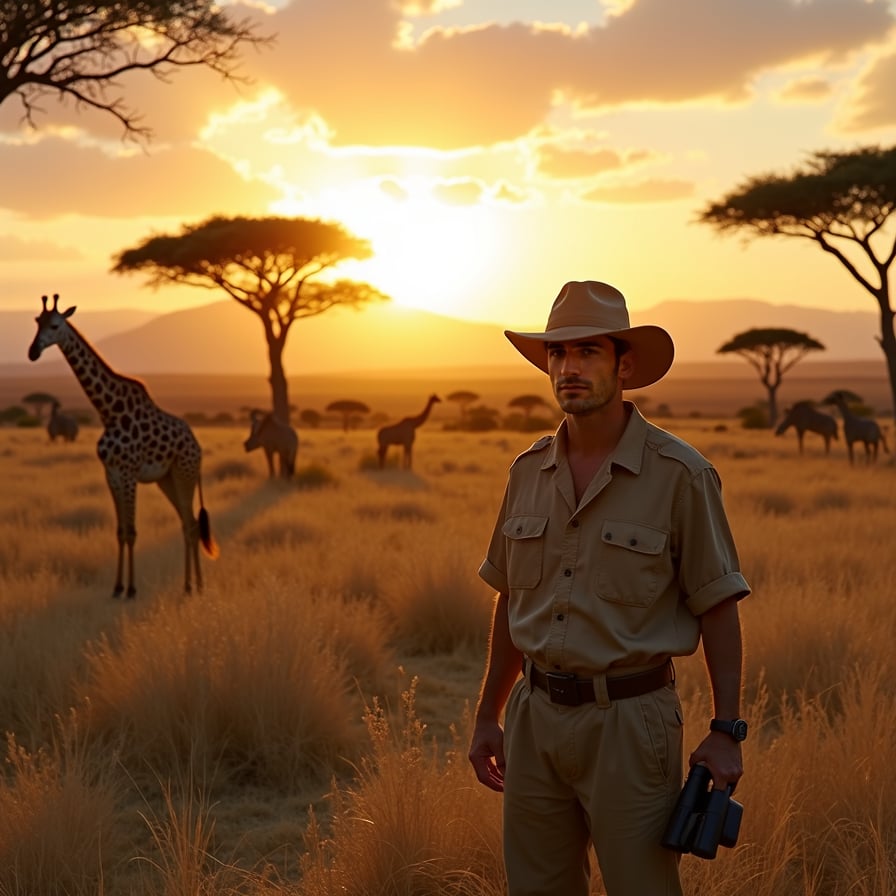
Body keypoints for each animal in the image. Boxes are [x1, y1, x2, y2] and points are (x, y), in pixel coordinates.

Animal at [28, 294, 218, 598]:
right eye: (37, 321)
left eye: (55, 325)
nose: (33, 352)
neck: (109, 411)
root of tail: (197, 446)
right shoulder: (112, 474)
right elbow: (120, 531)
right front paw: (117, 588)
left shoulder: (128, 474)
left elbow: (132, 530)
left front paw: (131, 589)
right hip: (167, 480)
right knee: (186, 523)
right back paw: (189, 585)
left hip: (184, 474)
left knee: (191, 525)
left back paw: (197, 586)